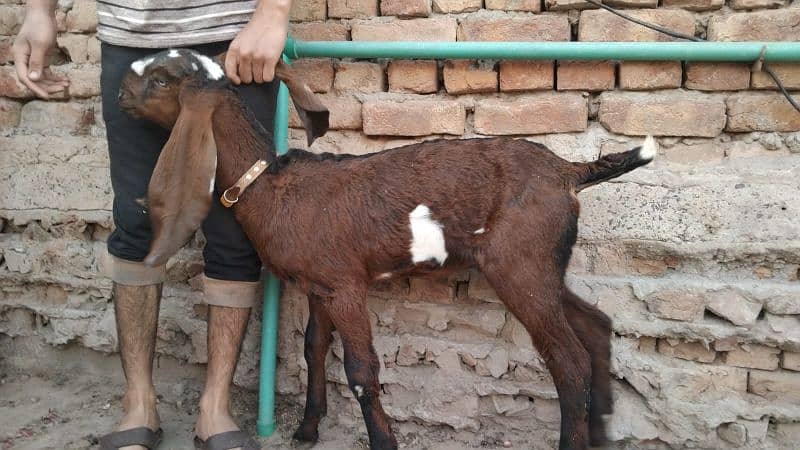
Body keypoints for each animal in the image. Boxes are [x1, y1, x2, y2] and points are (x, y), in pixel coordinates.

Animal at [119, 47, 656, 448]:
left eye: (163, 80)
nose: (121, 93)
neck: (269, 186)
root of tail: (569, 172)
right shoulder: (319, 285)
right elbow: (315, 349)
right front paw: (307, 430)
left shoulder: (345, 284)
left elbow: (361, 370)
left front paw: (382, 441)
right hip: (542, 263)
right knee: (595, 325)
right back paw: (600, 432)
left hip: (521, 263)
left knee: (568, 360)